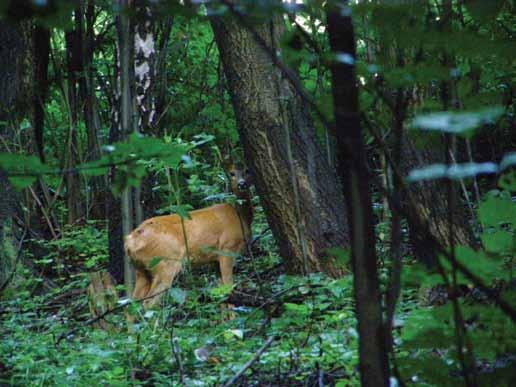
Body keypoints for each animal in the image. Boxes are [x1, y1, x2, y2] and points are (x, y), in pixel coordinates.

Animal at [125, 159, 254, 310]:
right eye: (231, 173)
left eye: (247, 170)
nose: (242, 183)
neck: (240, 216)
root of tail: (131, 241)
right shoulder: (227, 248)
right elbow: (229, 290)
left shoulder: (215, 259)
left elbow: (222, 296)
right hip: (165, 263)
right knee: (148, 303)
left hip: (141, 270)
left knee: (131, 305)